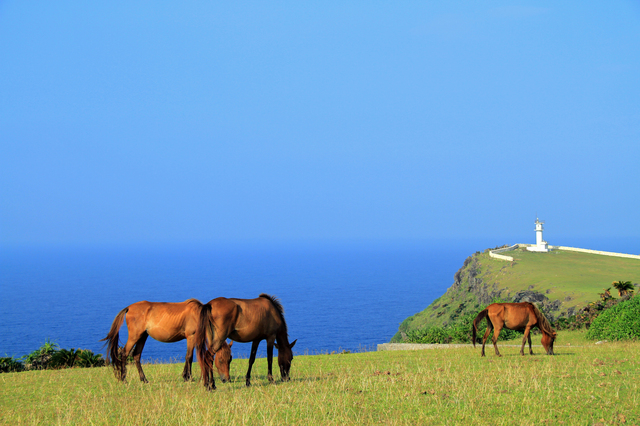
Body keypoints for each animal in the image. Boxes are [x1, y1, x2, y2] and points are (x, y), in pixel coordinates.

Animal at [101, 299, 232, 384]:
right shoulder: (191, 336)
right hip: (135, 336)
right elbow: (189, 357)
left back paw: (144, 379)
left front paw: (185, 376)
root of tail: (129, 308)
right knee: (124, 353)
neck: (200, 315)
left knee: (136, 356)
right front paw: (188, 377)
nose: (227, 379)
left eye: (230, 359)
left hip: (143, 336)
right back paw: (124, 379)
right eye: (221, 360)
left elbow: (188, 356)